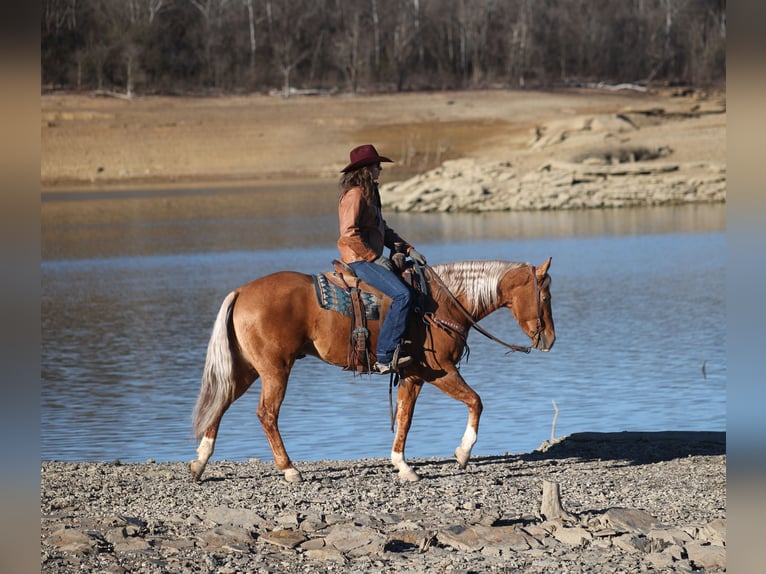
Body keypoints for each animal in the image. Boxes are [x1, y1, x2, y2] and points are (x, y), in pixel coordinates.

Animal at [190, 257, 555, 483]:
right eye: (546, 297)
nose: (550, 339)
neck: (441, 302)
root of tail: (241, 291)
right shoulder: (440, 371)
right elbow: (476, 402)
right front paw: (463, 453)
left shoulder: (413, 376)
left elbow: (405, 418)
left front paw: (403, 465)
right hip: (275, 370)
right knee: (266, 414)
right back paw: (290, 469)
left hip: (247, 369)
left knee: (220, 404)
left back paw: (200, 461)